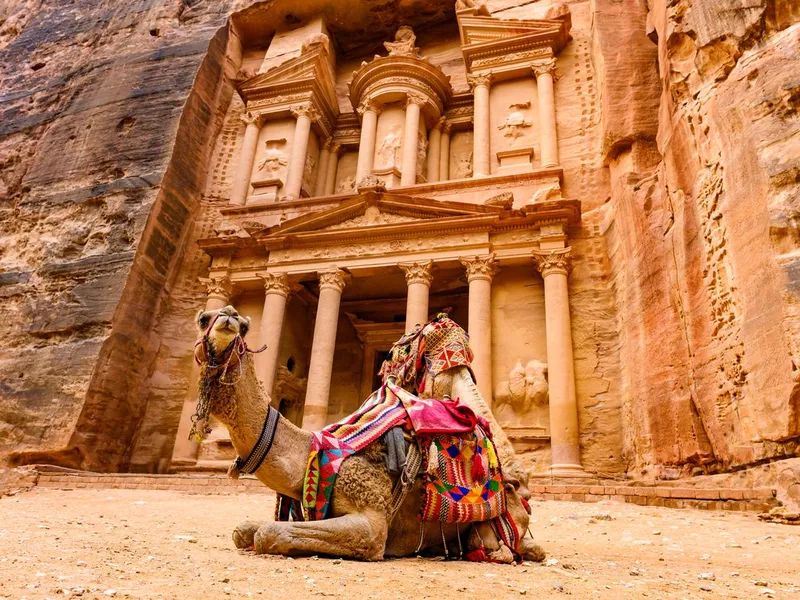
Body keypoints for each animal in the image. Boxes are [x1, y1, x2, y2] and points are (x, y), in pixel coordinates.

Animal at [193, 304, 544, 564]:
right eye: (202, 319)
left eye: (244, 327)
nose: (228, 317)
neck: (312, 452)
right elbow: (245, 529)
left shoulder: (372, 521)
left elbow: (268, 533)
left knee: (508, 547)